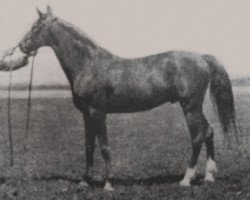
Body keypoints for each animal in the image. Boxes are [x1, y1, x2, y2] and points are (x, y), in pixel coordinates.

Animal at [18, 6, 238, 191]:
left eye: (36, 26)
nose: (22, 46)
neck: (89, 64)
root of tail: (202, 58)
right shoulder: (86, 115)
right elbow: (89, 147)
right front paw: (84, 181)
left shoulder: (98, 113)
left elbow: (104, 147)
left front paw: (108, 184)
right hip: (195, 107)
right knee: (209, 132)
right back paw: (209, 176)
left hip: (190, 107)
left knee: (198, 136)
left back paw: (186, 179)